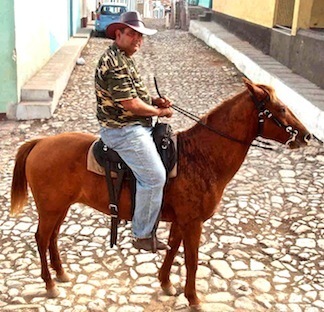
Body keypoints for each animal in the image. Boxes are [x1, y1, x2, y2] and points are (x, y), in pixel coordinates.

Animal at [10, 79, 312, 308]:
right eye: (281, 108)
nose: (307, 136)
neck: (200, 156)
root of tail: (39, 143)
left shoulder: (181, 221)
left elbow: (174, 250)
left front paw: (166, 283)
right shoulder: (193, 222)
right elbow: (192, 260)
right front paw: (193, 299)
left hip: (60, 207)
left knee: (52, 238)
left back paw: (60, 274)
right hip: (50, 208)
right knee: (41, 238)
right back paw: (50, 284)